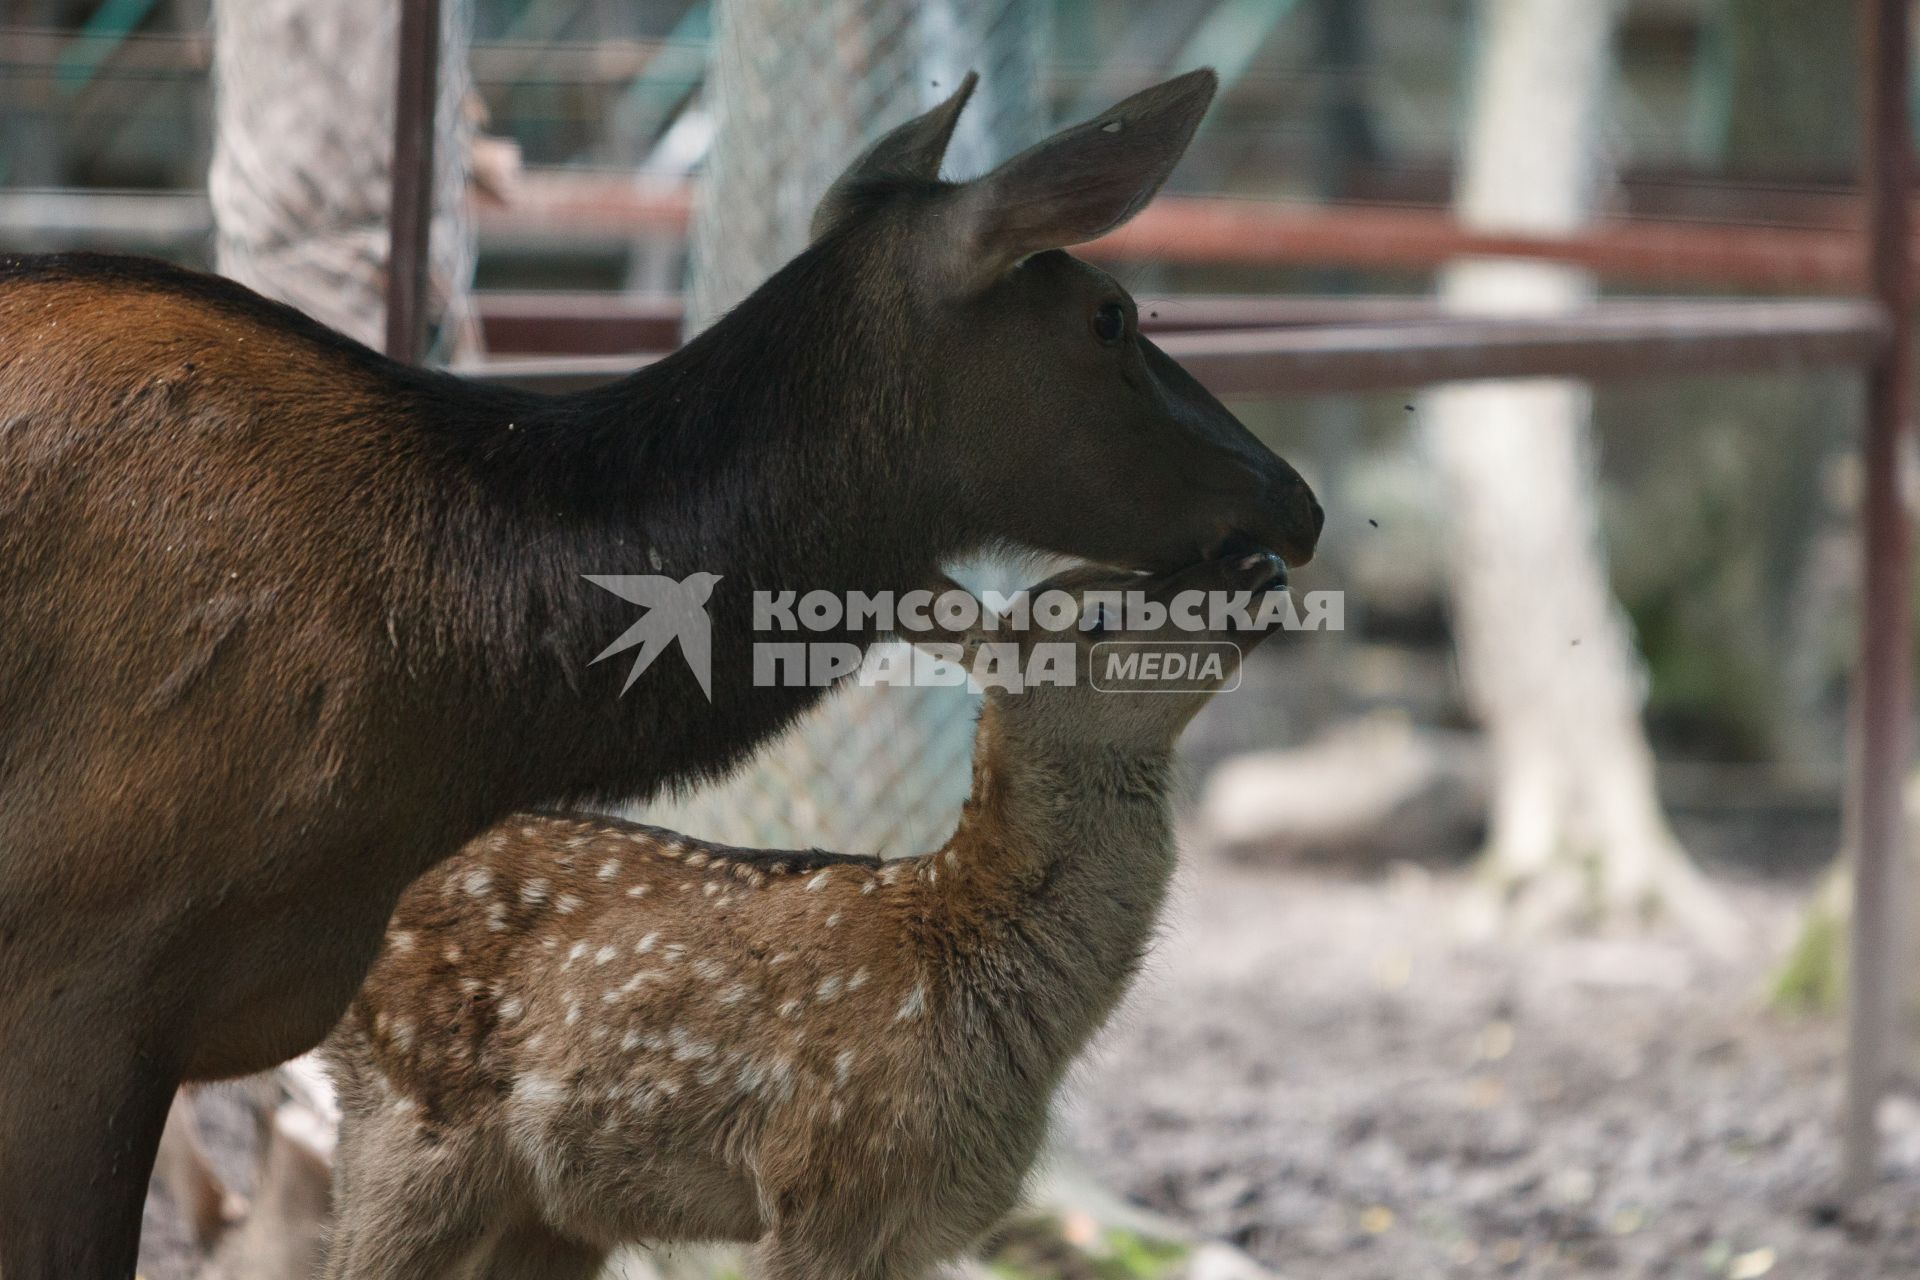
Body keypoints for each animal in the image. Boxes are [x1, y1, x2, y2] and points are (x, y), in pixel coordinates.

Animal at [326, 556, 1290, 1280]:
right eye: (1097, 616)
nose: (1262, 565)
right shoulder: (821, 1185)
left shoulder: (913, 1229)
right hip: (415, 1118)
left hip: (554, 1208)